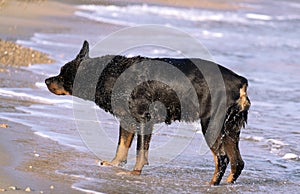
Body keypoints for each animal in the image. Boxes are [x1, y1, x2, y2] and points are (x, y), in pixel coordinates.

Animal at [45, 40, 251, 185]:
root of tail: (240, 82)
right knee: (238, 162)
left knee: (222, 159)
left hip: (211, 123)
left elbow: (140, 151)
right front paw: (114, 164)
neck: (109, 74)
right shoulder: (127, 120)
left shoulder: (144, 120)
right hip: (231, 128)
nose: (47, 80)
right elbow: (122, 146)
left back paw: (211, 184)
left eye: (62, 75)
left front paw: (135, 172)